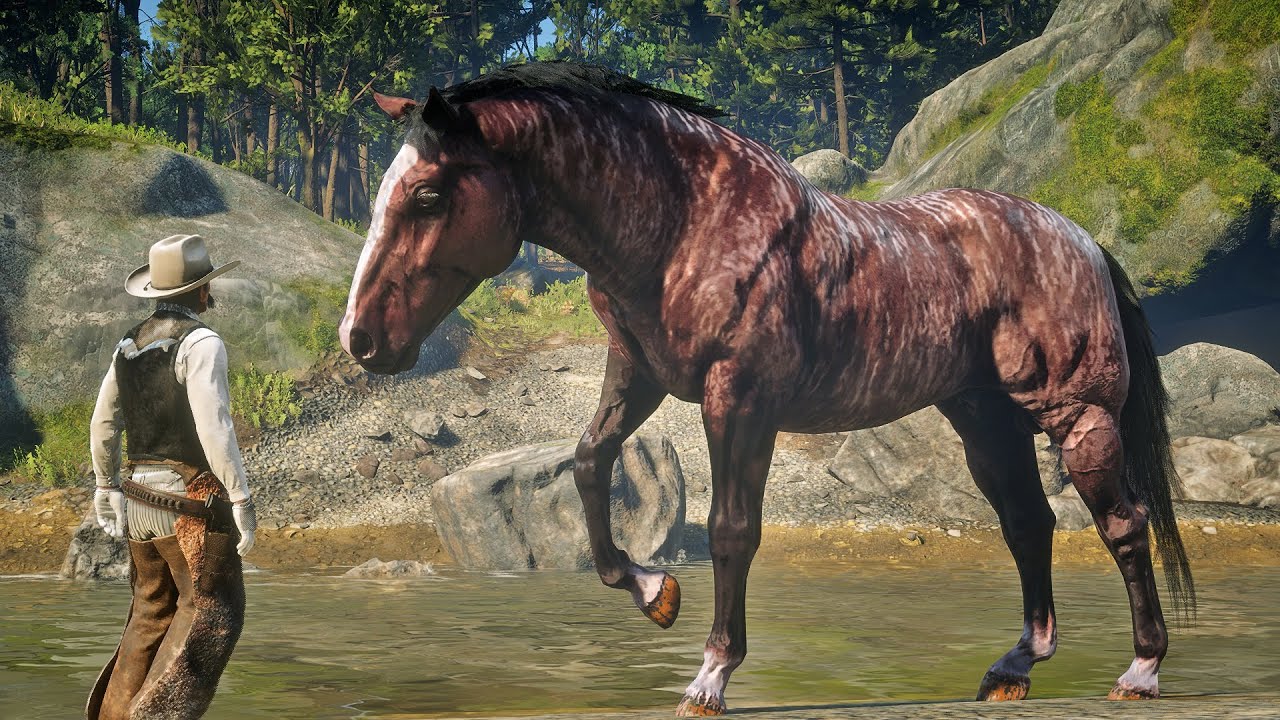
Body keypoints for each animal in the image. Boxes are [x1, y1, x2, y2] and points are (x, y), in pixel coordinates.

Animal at [339, 61, 1195, 715]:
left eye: (427, 195)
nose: (360, 339)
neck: (687, 224)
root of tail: (1083, 239)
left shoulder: (740, 401)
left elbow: (730, 532)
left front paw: (709, 676)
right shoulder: (638, 374)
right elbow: (587, 465)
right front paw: (652, 592)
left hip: (1076, 415)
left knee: (1122, 523)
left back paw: (1141, 671)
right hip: (984, 422)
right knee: (1028, 524)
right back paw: (1014, 667)